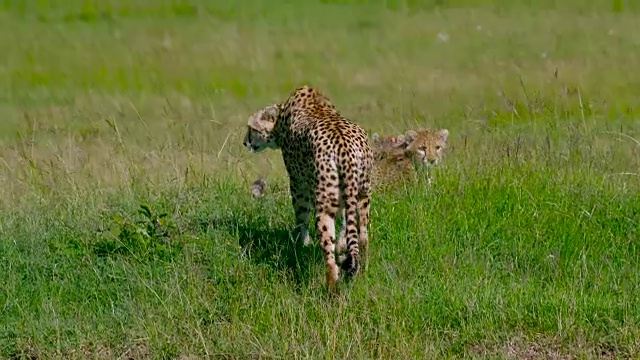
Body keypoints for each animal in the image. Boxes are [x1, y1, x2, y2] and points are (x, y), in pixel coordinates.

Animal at [244, 85, 376, 292]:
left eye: (252, 128)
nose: (245, 142)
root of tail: (345, 147)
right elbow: (345, 223)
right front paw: (341, 245)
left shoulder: (298, 184)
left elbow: (301, 216)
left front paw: (302, 243)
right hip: (363, 194)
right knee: (362, 236)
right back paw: (362, 273)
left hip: (324, 204)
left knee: (329, 254)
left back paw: (331, 287)